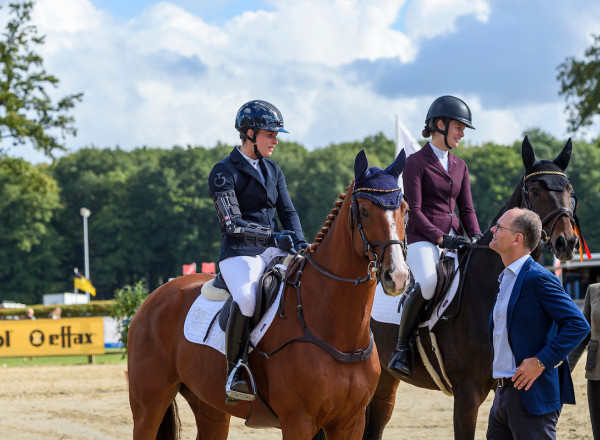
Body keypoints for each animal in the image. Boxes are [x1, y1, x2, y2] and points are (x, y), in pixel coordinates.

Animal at [128, 150, 410, 438]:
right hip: (149, 405)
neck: (340, 332)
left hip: (210, 406)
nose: (397, 276)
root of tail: (153, 297)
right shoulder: (298, 421)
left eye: (405, 210)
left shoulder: (350, 421)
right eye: (364, 211)